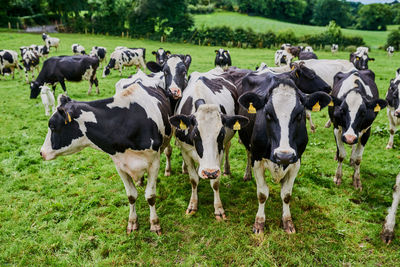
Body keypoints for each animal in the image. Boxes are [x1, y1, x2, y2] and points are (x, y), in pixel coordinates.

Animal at [39, 77, 176, 234]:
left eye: (52, 126)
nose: (41, 152)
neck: (125, 123)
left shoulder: (154, 164)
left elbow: (150, 196)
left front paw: (154, 223)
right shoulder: (120, 166)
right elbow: (131, 195)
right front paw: (132, 221)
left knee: (168, 151)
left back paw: (167, 170)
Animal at [170, 68, 248, 220]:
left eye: (221, 134)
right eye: (195, 134)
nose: (209, 172)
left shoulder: (220, 151)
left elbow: (215, 183)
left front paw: (218, 209)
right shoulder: (185, 151)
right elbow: (193, 179)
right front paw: (192, 205)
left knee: (228, 148)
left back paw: (226, 170)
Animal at [234, 69, 332, 234]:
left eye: (299, 114)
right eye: (268, 114)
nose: (283, 155)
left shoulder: (296, 161)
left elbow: (286, 195)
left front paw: (288, 222)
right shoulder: (257, 159)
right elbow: (262, 194)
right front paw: (259, 223)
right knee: (248, 154)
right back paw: (247, 174)